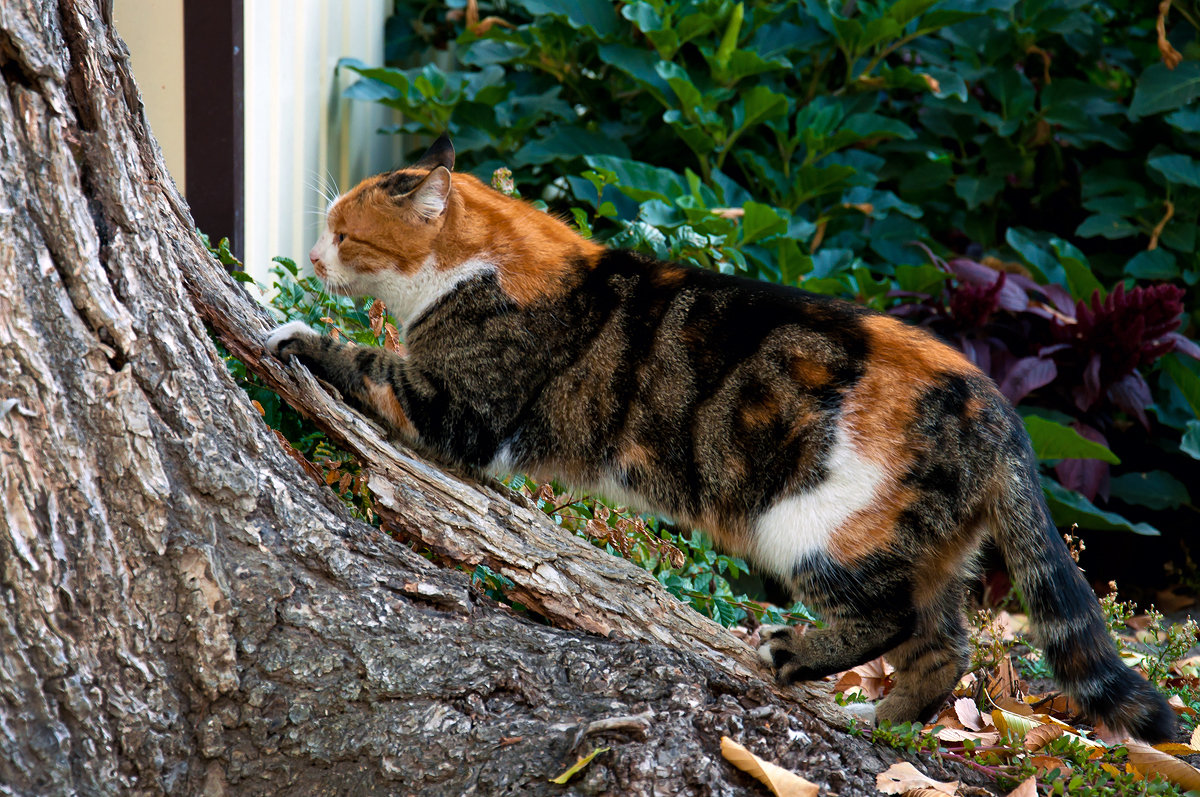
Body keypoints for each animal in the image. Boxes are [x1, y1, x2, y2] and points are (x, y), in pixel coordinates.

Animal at [270, 135, 1171, 739]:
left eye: (345, 233)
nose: (311, 255)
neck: (479, 258)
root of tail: (995, 406)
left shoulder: (455, 405)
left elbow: (364, 359)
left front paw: (296, 335)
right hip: (932, 550)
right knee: (946, 644)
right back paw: (879, 721)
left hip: (815, 525)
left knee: (886, 620)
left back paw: (792, 654)